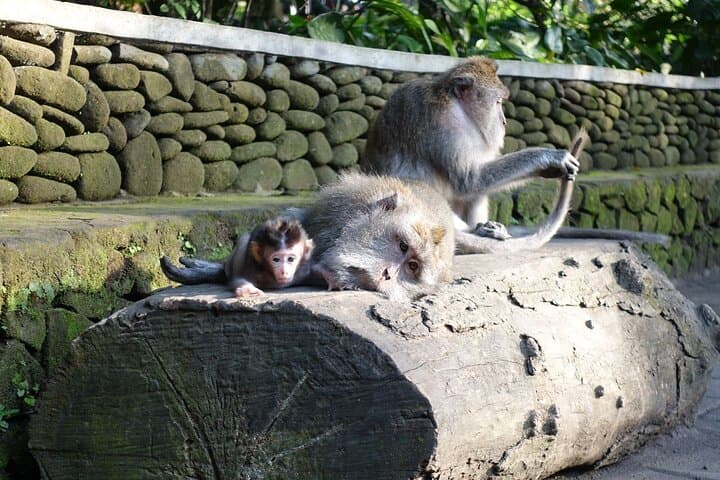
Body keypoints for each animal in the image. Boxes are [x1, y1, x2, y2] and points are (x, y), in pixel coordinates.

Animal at [160, 218, 322, 296]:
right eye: (276, 259)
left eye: (291, 259)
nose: (284, 271)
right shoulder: (250, 265)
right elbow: (237, 279)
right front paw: (247, 289)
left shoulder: (304, 269)